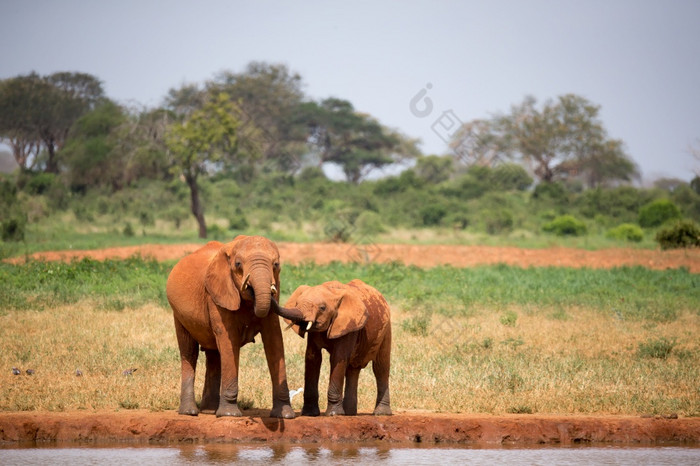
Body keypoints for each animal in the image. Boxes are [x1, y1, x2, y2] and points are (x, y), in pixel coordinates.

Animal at [165, 237, 294, 418]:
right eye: (238, 264)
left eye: (276, 265)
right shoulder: (217, 295)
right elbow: (229, 339)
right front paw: (229, 414)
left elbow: (274, 340)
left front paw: (285, 415)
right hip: (178, 314)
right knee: (189, 352)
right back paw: (190, 412)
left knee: (214, 354)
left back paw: (210, 410)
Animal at [272, 278, 392, 416]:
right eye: (296, 303)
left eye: (322, 308)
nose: (272, 290)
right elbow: (313, 358)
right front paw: (309, 414)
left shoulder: (347, 325)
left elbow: (337, 358)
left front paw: (334, 414)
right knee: (352, 368)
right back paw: (349, 413)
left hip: (386, 330)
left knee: (380, 367)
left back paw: (381, 413)